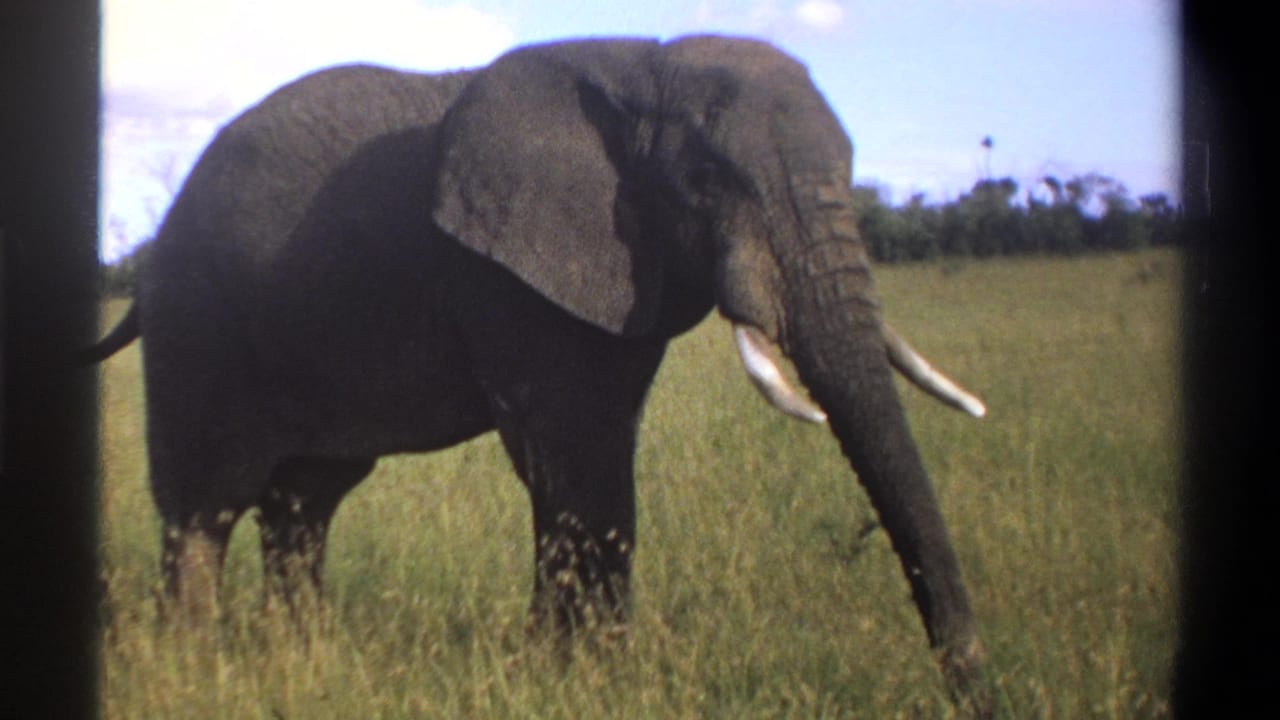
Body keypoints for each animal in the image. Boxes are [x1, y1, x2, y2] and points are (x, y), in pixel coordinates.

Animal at [85, 36, 991, 711]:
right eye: (704, 182)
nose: (971, 691)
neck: (644, 67)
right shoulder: (509, 276)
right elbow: (574, 455)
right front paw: (583, 677)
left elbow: (596, 452)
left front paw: (583, 670)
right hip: (199, 327)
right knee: (205, 507)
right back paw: (198, 665)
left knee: (305, 504)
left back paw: (300, 661)